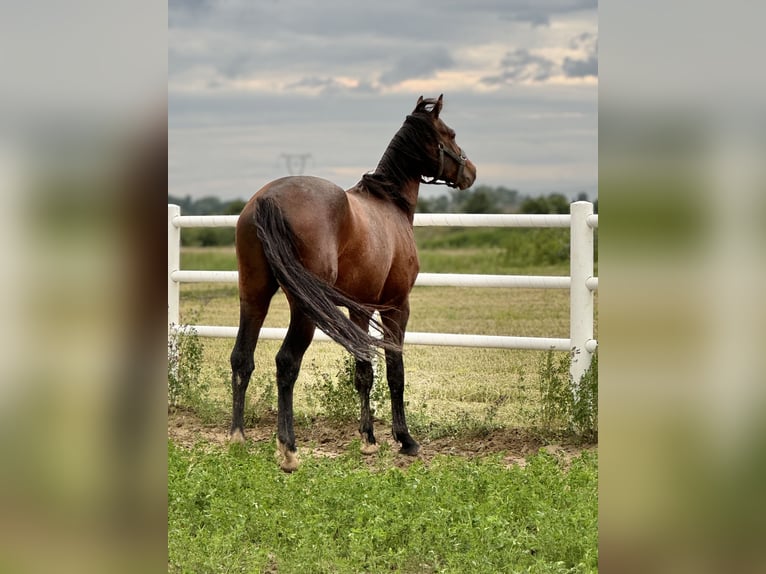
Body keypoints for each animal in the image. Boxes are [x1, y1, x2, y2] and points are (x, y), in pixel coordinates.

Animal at [229, 95, 476, 471]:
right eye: (449, 134)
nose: (471, 171)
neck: (389, 204)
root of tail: (267, 199)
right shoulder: (396, 306)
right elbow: (394, 370)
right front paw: (405, 440)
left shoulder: (360, 309)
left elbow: (363, 372)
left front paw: (368, 440)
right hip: (304, 310)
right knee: (286, 362)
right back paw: (288, 449)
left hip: (254, 295)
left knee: (242, 358)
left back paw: (237, 438)